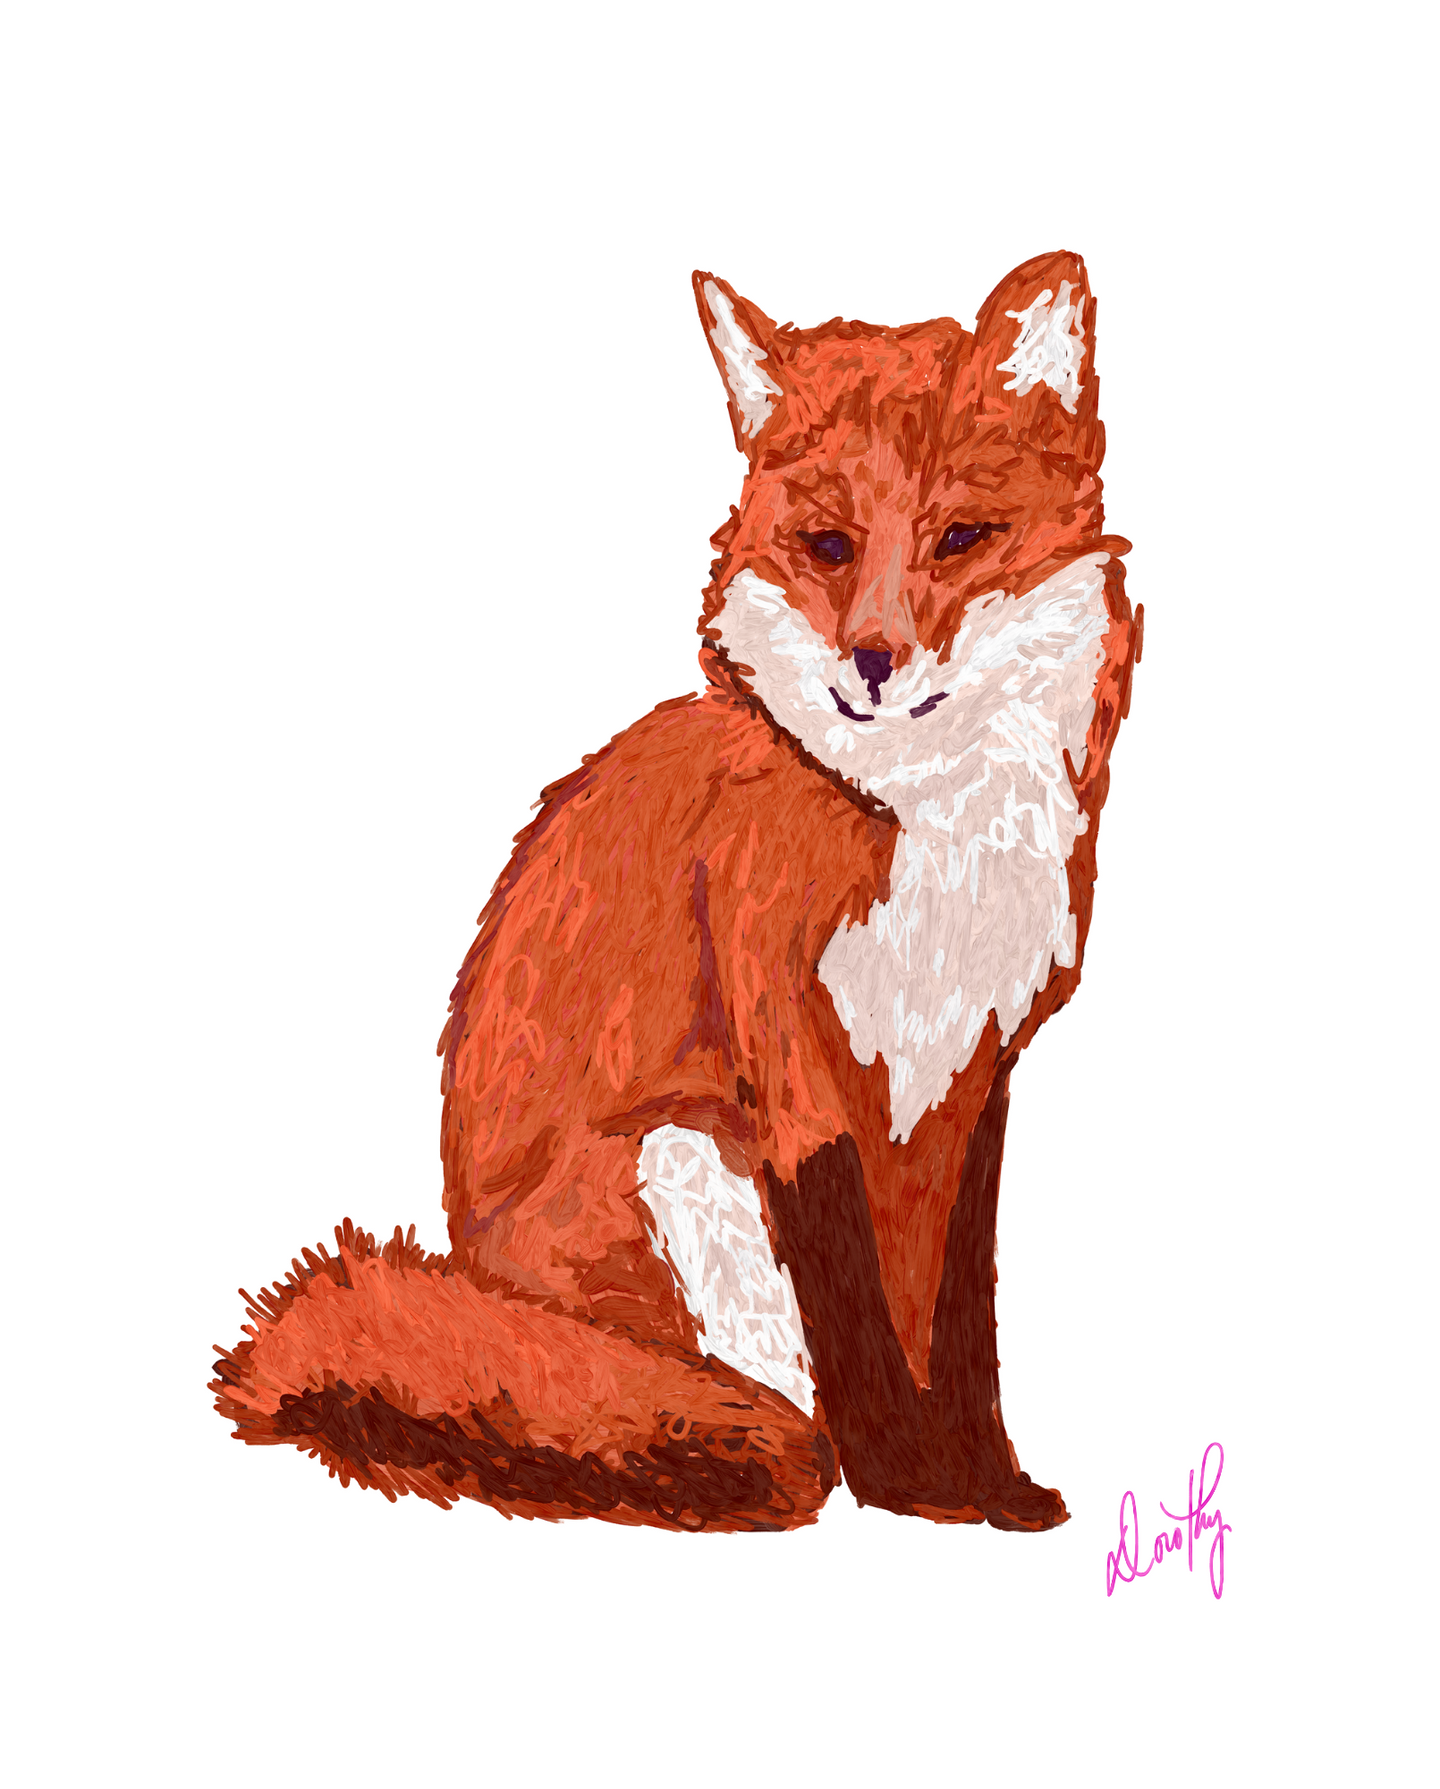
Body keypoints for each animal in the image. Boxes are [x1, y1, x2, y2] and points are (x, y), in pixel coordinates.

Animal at [212, 250, 1141, 1533]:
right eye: (829, 545)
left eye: (961, 536)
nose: (874, 662)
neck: (926, 836)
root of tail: (473, 1272)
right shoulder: (793, 1057)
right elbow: (862, 1317)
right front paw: (913, 1486)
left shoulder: (969, 1070)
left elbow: (955, 1324)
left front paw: (986, 1485)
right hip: (676, 1155)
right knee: (723, 1394)